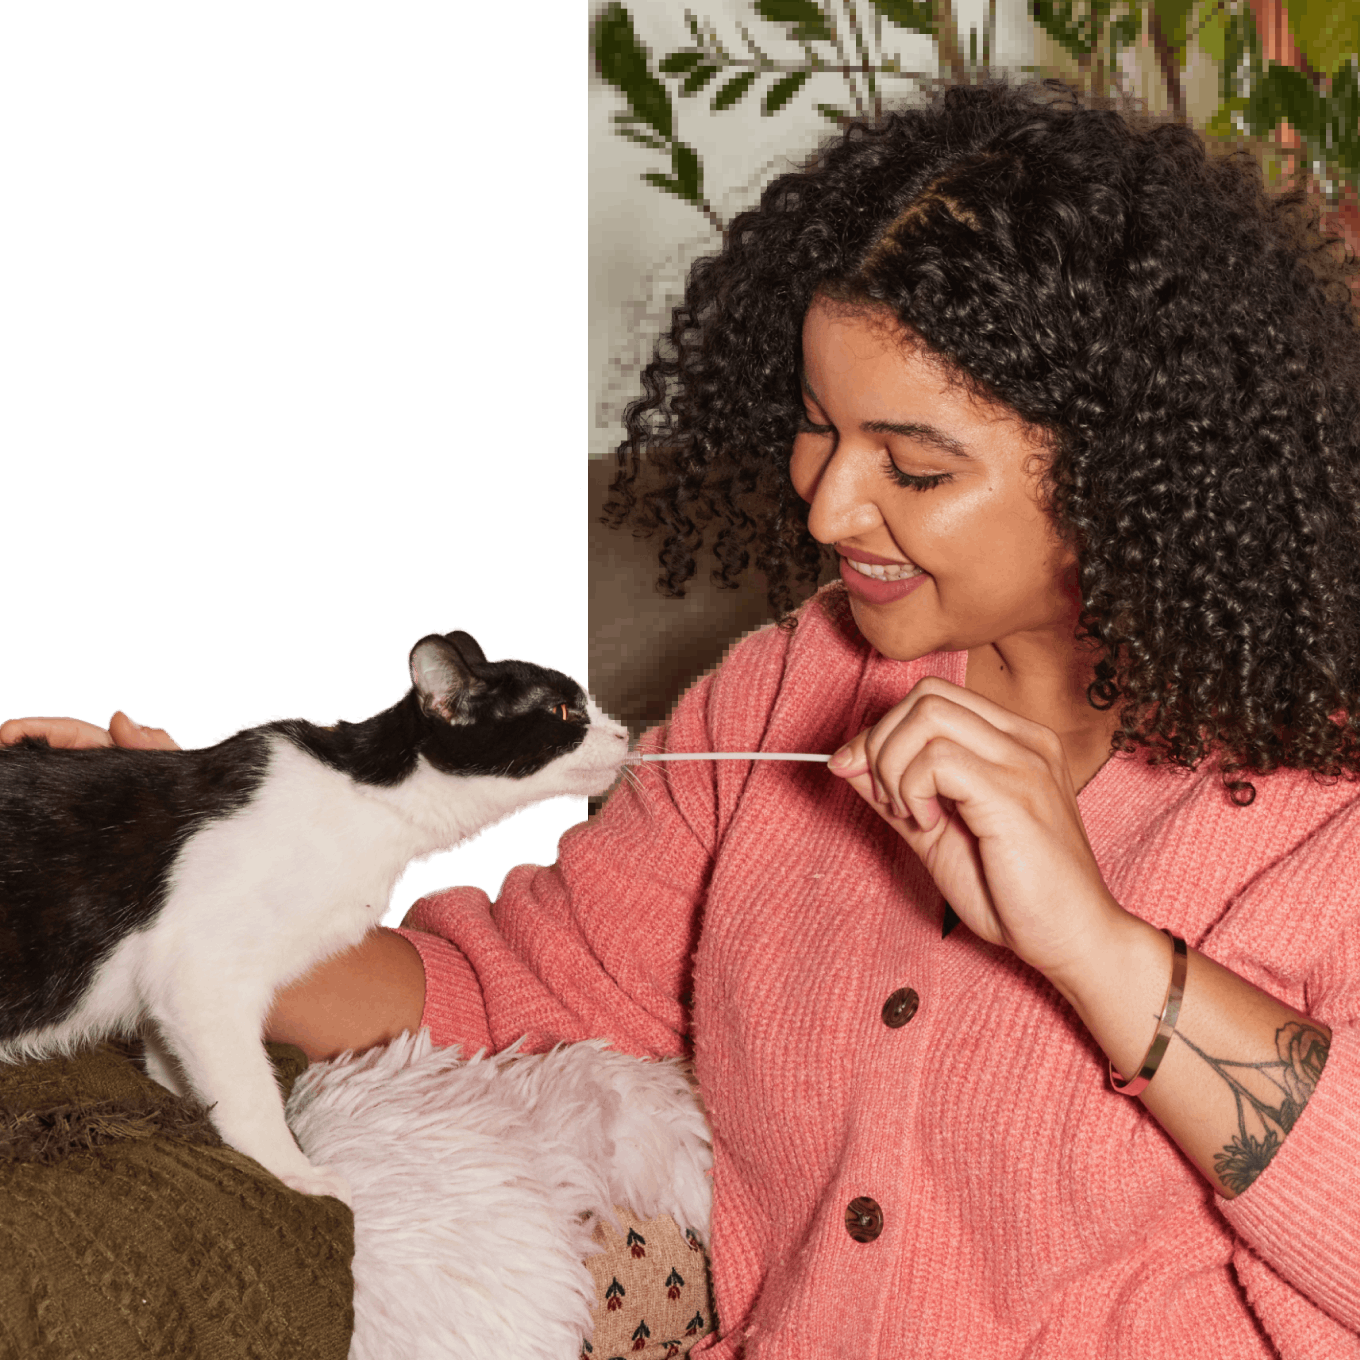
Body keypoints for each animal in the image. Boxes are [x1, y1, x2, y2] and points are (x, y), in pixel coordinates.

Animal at [0, 625, 625, 1202]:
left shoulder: (171, 995)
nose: (622, 731)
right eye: (564, 711)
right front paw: (294, 1171)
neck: (369, 799)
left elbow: (176, 1069)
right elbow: (249, 1092)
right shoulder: (201, 976)